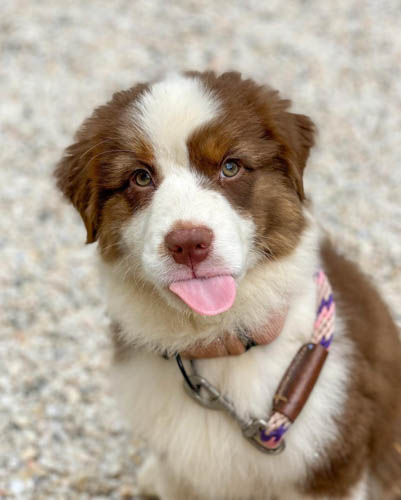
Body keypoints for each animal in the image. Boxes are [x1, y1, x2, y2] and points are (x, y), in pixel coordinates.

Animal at [55, 71, 400, 500]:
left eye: (231, 167)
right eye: (140, 177)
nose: (188, 243)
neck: (219, 343)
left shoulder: (330, 465)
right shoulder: (180, 472)